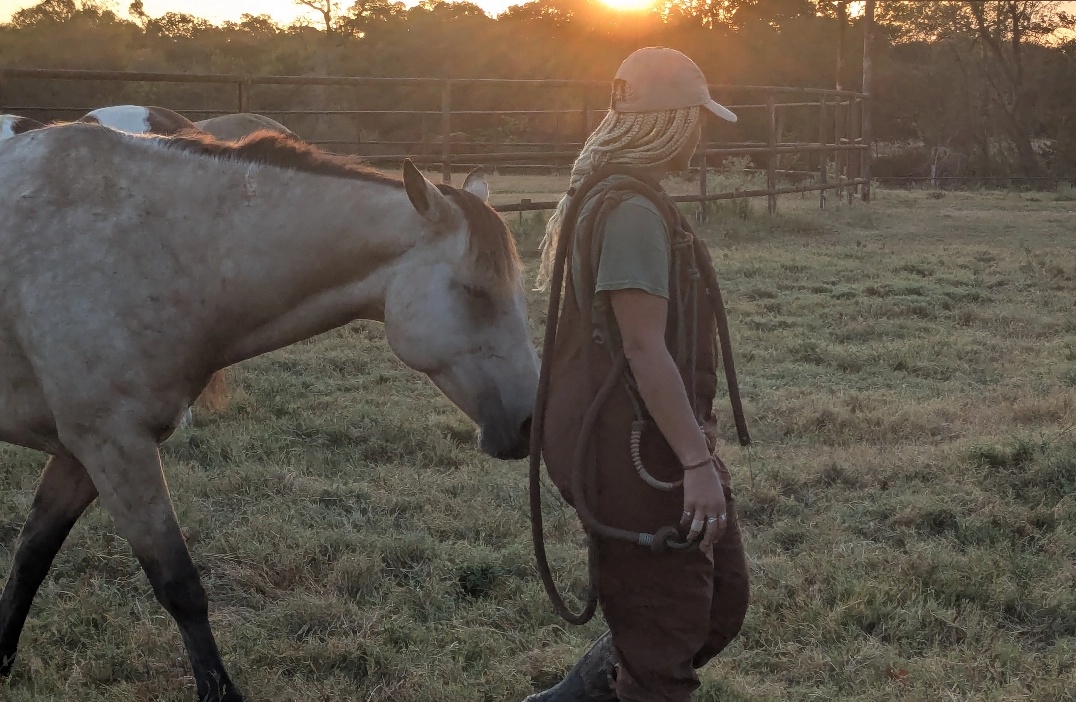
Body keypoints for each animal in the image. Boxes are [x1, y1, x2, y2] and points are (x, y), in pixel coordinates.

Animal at [0, 122, 539, 702]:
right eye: (475, 292)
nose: (530, 423)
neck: (146, 247)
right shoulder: (113, 445)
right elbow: (179, 584)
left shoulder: (81, 454)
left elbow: (30, 557)